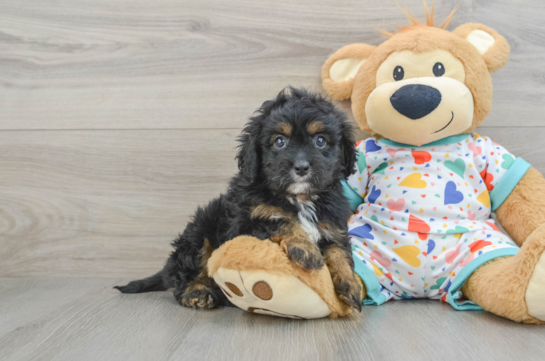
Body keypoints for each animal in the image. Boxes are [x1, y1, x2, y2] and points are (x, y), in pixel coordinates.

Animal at [115, 86, 362, 310]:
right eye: (279, 141)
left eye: (320, 140)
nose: (301, 167)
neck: (299, 198)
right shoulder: (245, 224)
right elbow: (279, 220)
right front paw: (306, 248)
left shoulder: (333, 225)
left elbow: (339, 251)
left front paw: (350, 284)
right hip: (199, 232)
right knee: (184, 277)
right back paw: (197, 292)